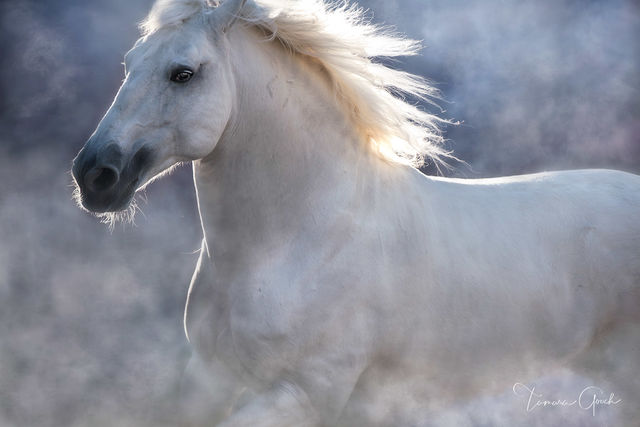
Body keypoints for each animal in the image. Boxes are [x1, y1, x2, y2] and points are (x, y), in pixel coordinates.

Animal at [71, 0, 640, 425]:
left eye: (183, 73)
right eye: (129, 63)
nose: (93, 175)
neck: (301, 240)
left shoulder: (307, 393)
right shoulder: (208, 376)